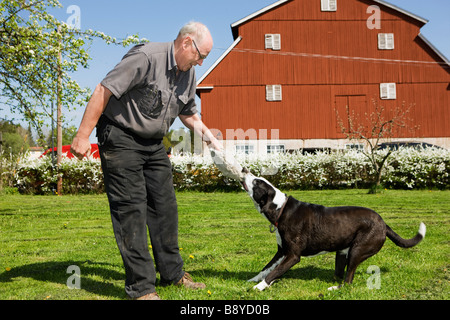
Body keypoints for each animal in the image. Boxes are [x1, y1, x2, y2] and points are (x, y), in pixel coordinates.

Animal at [239, 171, 426, 292]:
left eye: (256, 182)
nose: (244, 170)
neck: (281, 208)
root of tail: (384, 223)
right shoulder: (281, 252)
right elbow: (267, 268)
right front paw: (254, 279)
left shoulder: (292, 255)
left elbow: (274, 272)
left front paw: (259, 287)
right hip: (343, 252)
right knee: (341, 274)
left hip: (357, 250)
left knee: (348, 281)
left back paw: (335, 288)